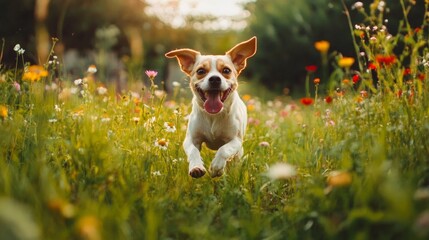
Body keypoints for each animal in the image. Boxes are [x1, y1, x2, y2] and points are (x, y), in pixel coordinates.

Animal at [166, 36, 256, 177]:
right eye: (200, 71)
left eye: (226, 70)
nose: (214, 79)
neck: (214, 115)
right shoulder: (191, 139)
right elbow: (193, 151)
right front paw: (196, 167)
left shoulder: (236, 141)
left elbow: (224, 149)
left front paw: (217, 167)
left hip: (239, 152)